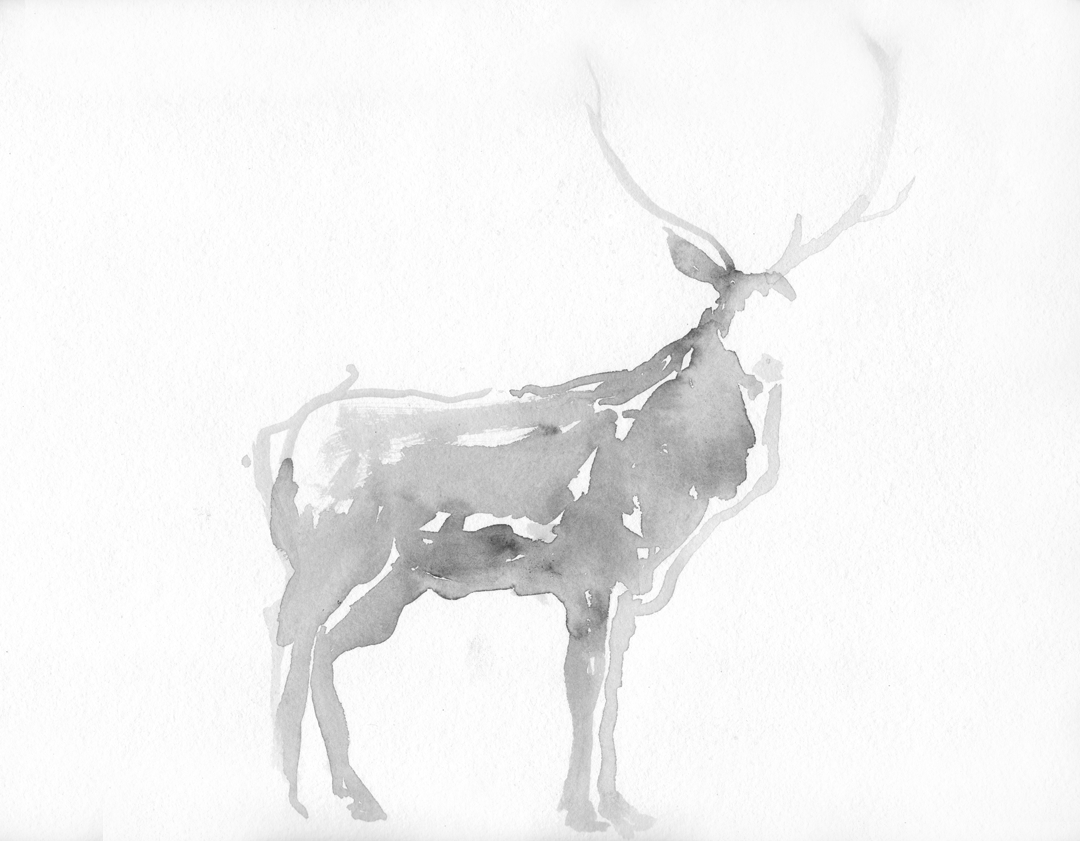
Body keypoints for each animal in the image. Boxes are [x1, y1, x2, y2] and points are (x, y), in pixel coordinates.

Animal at [250, 33, 912, 838]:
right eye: (721, 313)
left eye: (789, 305)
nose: (765, 371)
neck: (672, 487)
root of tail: (281, 448)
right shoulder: (588, 576)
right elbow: (584, 692)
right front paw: (581, 810)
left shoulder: (632, 586)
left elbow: (615, 696)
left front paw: (625, 805)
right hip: (332, 549)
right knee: (288, 634)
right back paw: (293, 796)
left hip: (398, 576)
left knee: (325, 648)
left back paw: (357, 795)